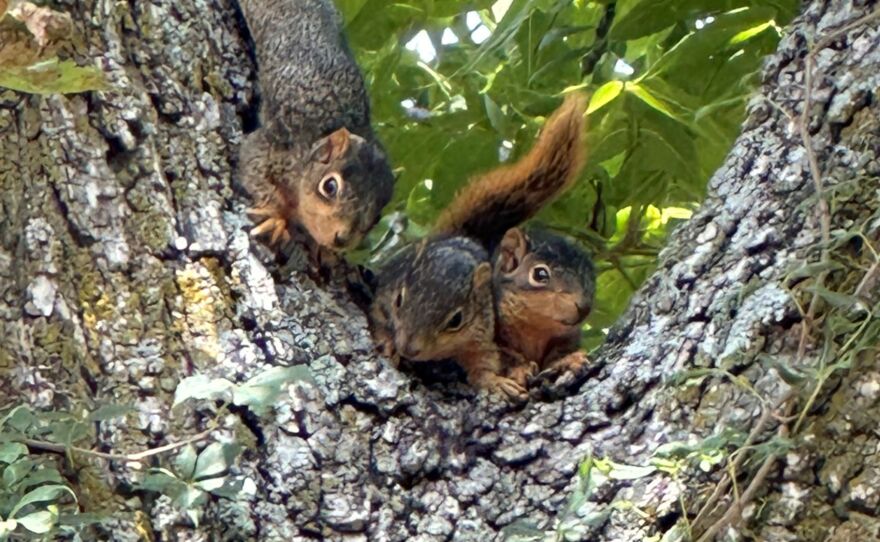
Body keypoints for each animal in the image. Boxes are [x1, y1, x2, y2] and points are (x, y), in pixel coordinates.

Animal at [236, 0, 394, 252]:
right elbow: (254, 166)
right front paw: (277, 218)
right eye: (329, 187)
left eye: (376, 218)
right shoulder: (278, 148)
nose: (341, 239)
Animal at [370, 93, 589, 399]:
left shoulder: (483, 334)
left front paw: (498, 380)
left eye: (456, 320)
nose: (408, 347)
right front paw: (388, 342)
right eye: (539, 274)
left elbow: (485, 362)